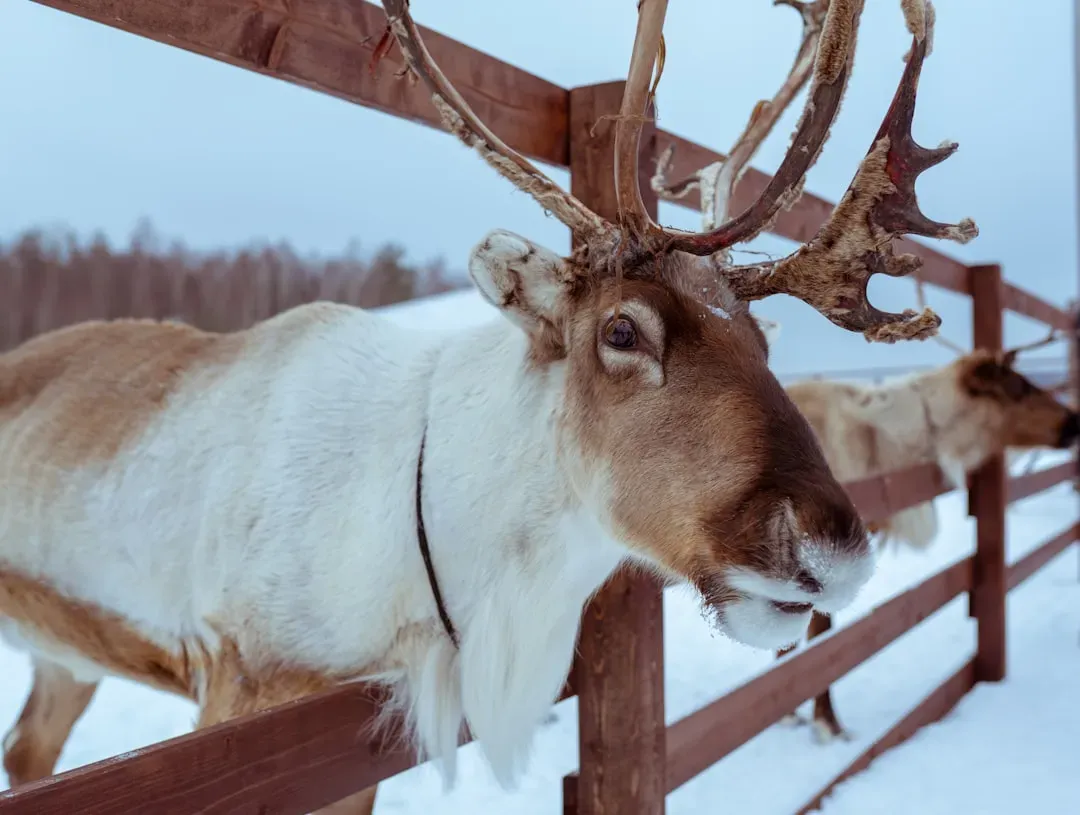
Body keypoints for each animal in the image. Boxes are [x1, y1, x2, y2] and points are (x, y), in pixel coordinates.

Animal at [0, 1, 976, 812]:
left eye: (766, 343)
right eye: (622, 330)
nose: (833, 549)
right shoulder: (243, 688)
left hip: (63, 656)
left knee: (27, 752)